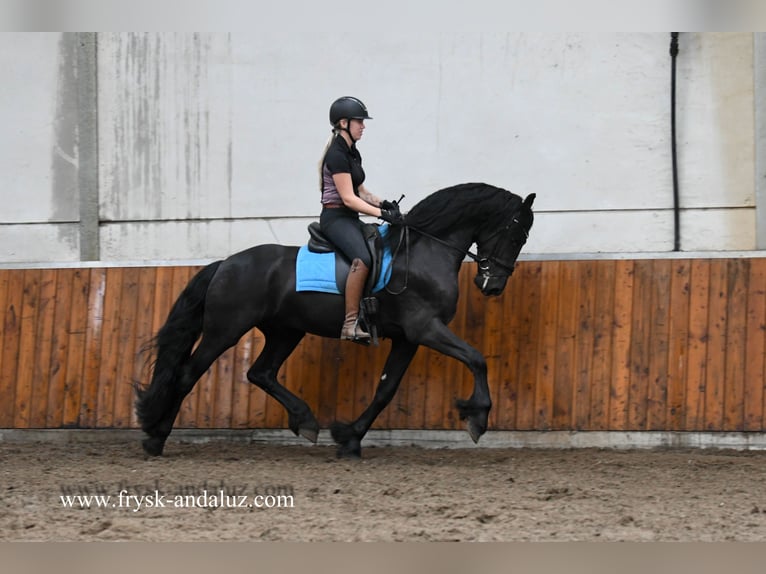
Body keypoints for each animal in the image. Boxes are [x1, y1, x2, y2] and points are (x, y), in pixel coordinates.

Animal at [135, 183, 536, 460]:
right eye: (517, 232)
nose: (493, 286)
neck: (425, 251)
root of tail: (225, 264)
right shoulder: (425, 328)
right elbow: (476, 359)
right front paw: (477, 418)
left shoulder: (408, 338)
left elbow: (386, 390)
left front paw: (350, 438)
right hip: (226, 330)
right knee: (188, 374)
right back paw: (156, 437)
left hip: (286, 331)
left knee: (261, 373)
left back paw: (306, 421)